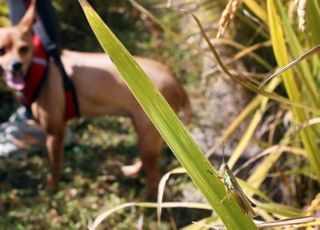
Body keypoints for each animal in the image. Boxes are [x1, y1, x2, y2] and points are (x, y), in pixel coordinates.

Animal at [0, 2, 190, 194]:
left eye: (24, 48)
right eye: (2, 50)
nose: (16, 65)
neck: (40, 67)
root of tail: (176, 81)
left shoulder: (55, 133)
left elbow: (55, 166)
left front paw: (52, 188)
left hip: (150, 135)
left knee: (154, 180)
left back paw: (143, 199)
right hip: (149, 133)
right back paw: (133, 171)